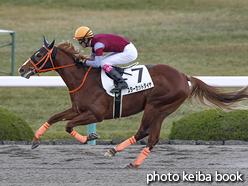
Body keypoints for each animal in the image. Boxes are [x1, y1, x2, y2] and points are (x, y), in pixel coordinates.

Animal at [19, 36, 248, 169]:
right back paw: (134, 163)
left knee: (143, 131)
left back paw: (114, 150)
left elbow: (67, 125)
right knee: (153, 138)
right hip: (164, 111)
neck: (82, 79)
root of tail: (183, 76)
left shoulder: (95, 114)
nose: (22, 69)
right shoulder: (77, 109)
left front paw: (90, 137)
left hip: (155, 105)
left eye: (38, 54)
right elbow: (54, 118)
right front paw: (35, 139)